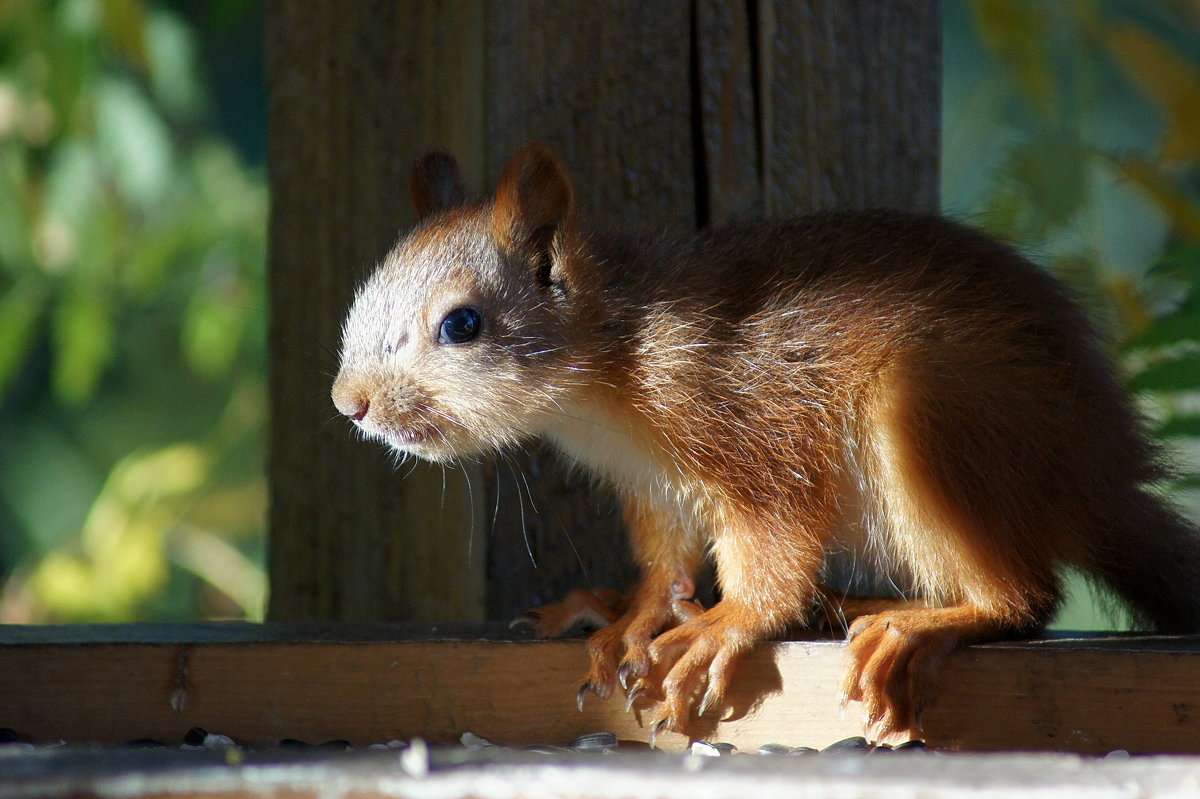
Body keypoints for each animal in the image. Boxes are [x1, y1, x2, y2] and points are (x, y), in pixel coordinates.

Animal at [333, 144, 1200, 739]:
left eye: (462, 324)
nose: (351, 403)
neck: (610, 371)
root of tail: (1095, 476)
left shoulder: (755, 430)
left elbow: (776, 544)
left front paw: (724, 623)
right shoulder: (652, 485)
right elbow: (665, 561)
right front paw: (633, 612)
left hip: (935, 420)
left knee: (1024, 598)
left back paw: (916, 623)